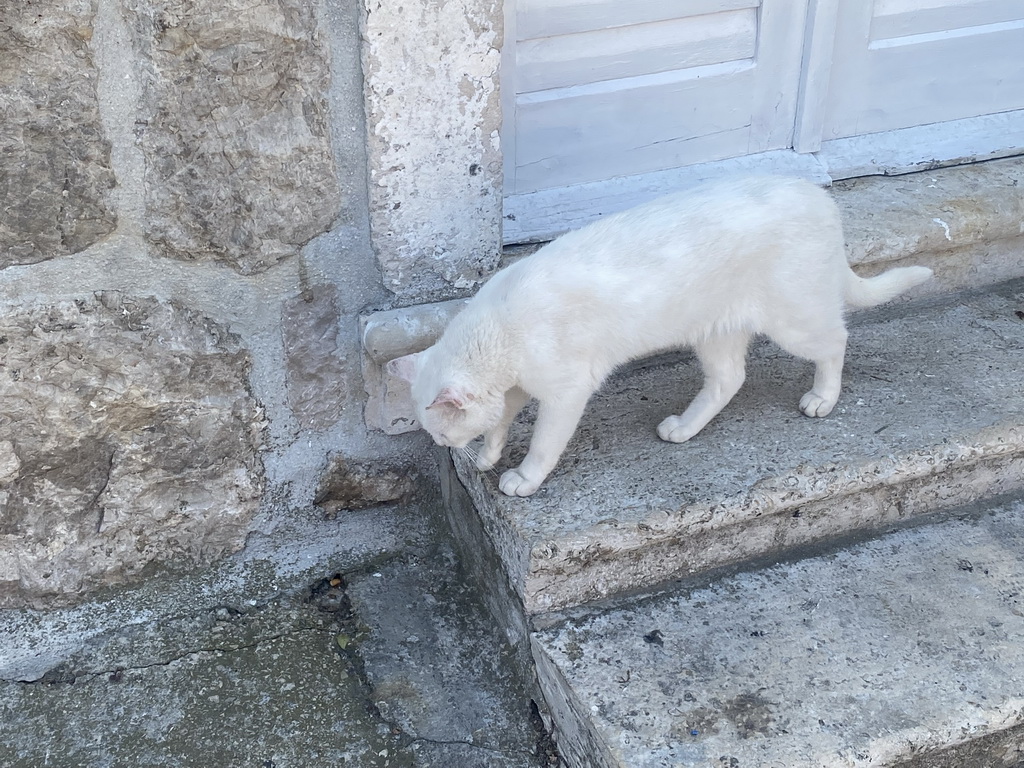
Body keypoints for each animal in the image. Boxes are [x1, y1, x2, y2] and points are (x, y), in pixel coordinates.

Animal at [387, 174, 933, 499]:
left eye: (440, 434)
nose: (443, 446)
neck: (498, 330)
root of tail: (820, 195)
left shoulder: (566, 391)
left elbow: (543, 442)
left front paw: (522, 476)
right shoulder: (518, 385)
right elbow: (501, 419)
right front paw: (489, 453)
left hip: (794, 318)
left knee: (836, 340)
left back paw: (823, 397)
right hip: (716, 333)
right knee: (728, 380)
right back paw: (683, 428)